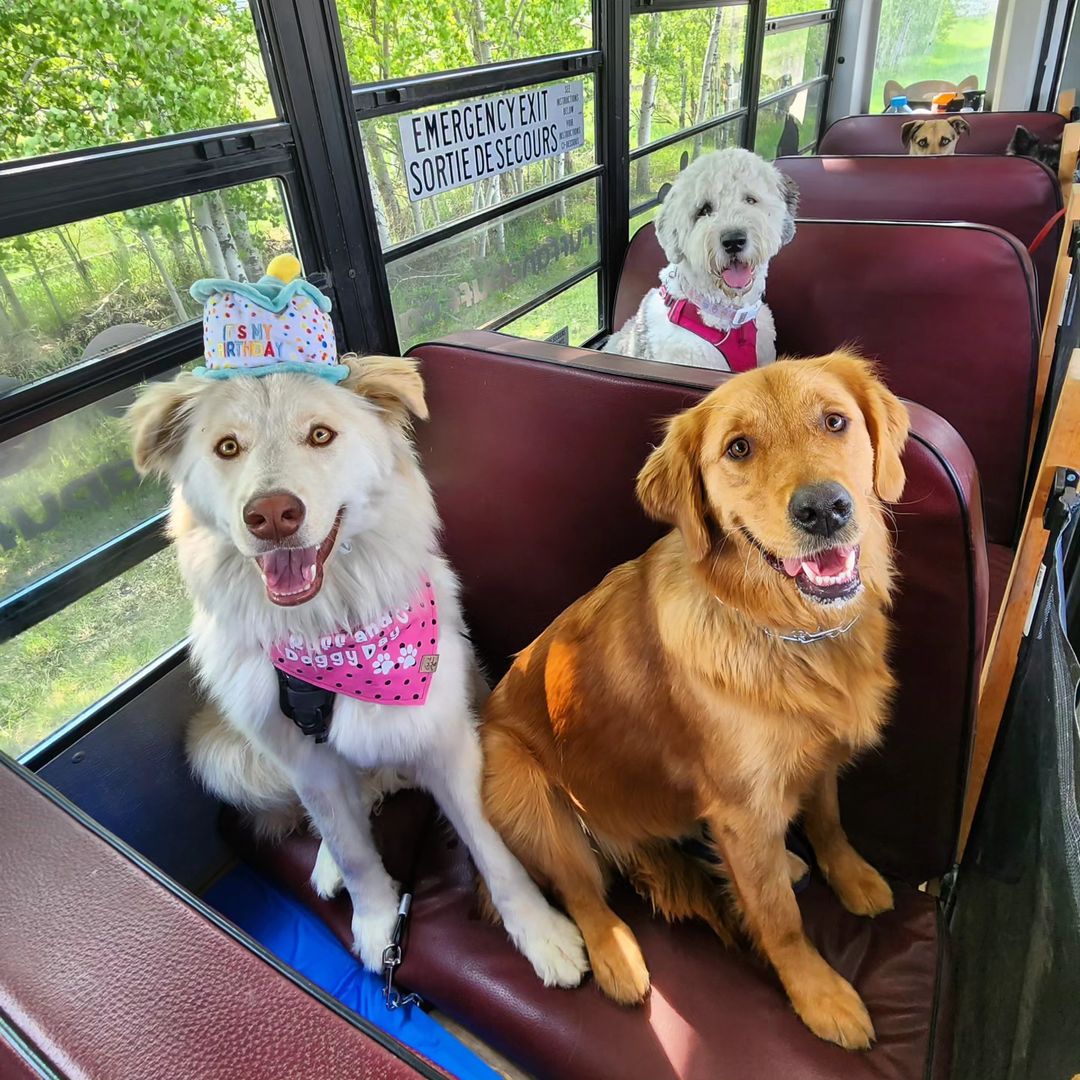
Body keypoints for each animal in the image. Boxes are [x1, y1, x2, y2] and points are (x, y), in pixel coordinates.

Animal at [129, 252, 587, 989]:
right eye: (227, 447)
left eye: (321, 435)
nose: (272, 515)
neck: (330, 634)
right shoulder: (307, 765)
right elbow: (354, 851)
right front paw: (374, 923)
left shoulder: (447, 743)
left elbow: (492, 848)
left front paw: (541, 934)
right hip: (225, 755)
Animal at [481, 358, 911, 1049]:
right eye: (738, 448)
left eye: (835, 421)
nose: (825, 508)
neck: (786, 630)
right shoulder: (741, 805)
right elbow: (782, 921)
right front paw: (818, 995)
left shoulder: (817, 757)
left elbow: (827, 820)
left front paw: (851, 875)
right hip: (515, 777)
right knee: (582, 892)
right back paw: (615, 955)